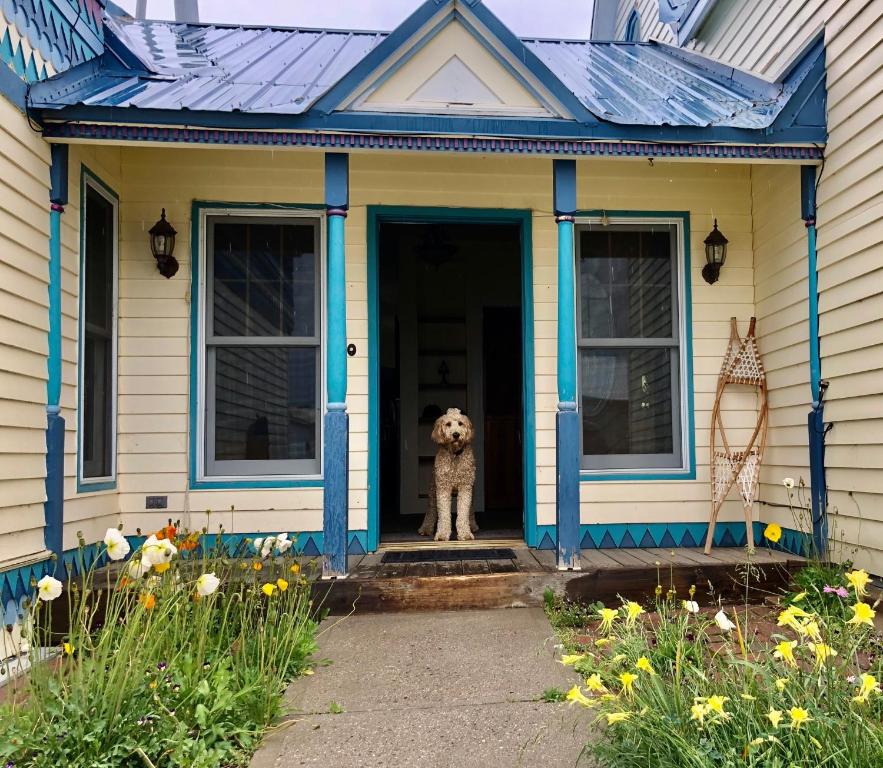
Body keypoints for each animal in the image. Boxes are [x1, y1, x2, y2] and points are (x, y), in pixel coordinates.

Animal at [418, 408, 480, 540]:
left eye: (460, 423)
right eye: (448, 424)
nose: (456, 434)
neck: (455, 454)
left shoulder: (465, 488)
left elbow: (464, 512)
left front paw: (465, 533)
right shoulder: (443, 488)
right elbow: (444, 515)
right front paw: (442, 534)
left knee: (470, 510)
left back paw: (472, 526)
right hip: (433, 491)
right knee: (431, 511)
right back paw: (425, 529)